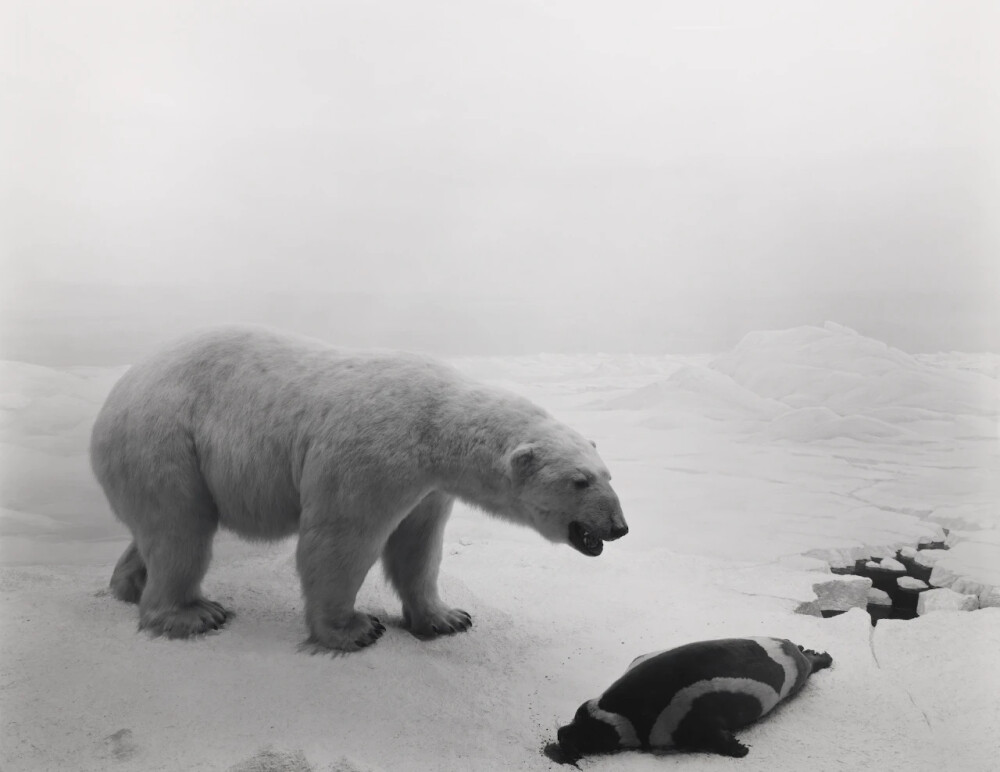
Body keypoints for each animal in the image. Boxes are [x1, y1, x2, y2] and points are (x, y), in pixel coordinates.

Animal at [92, 326, 624, 652]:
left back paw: (129, 585)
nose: (618, 527)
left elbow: (418, 546)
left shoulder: (429, 487)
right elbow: (341, 538)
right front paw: (353, 629)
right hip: (165, 441)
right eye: (579, 481)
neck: (437, 423)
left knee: (160, 530)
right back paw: (192, 614)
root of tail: (114, 396)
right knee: (181, 529)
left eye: (608, 474)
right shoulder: (373, 454)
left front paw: (447, 617)